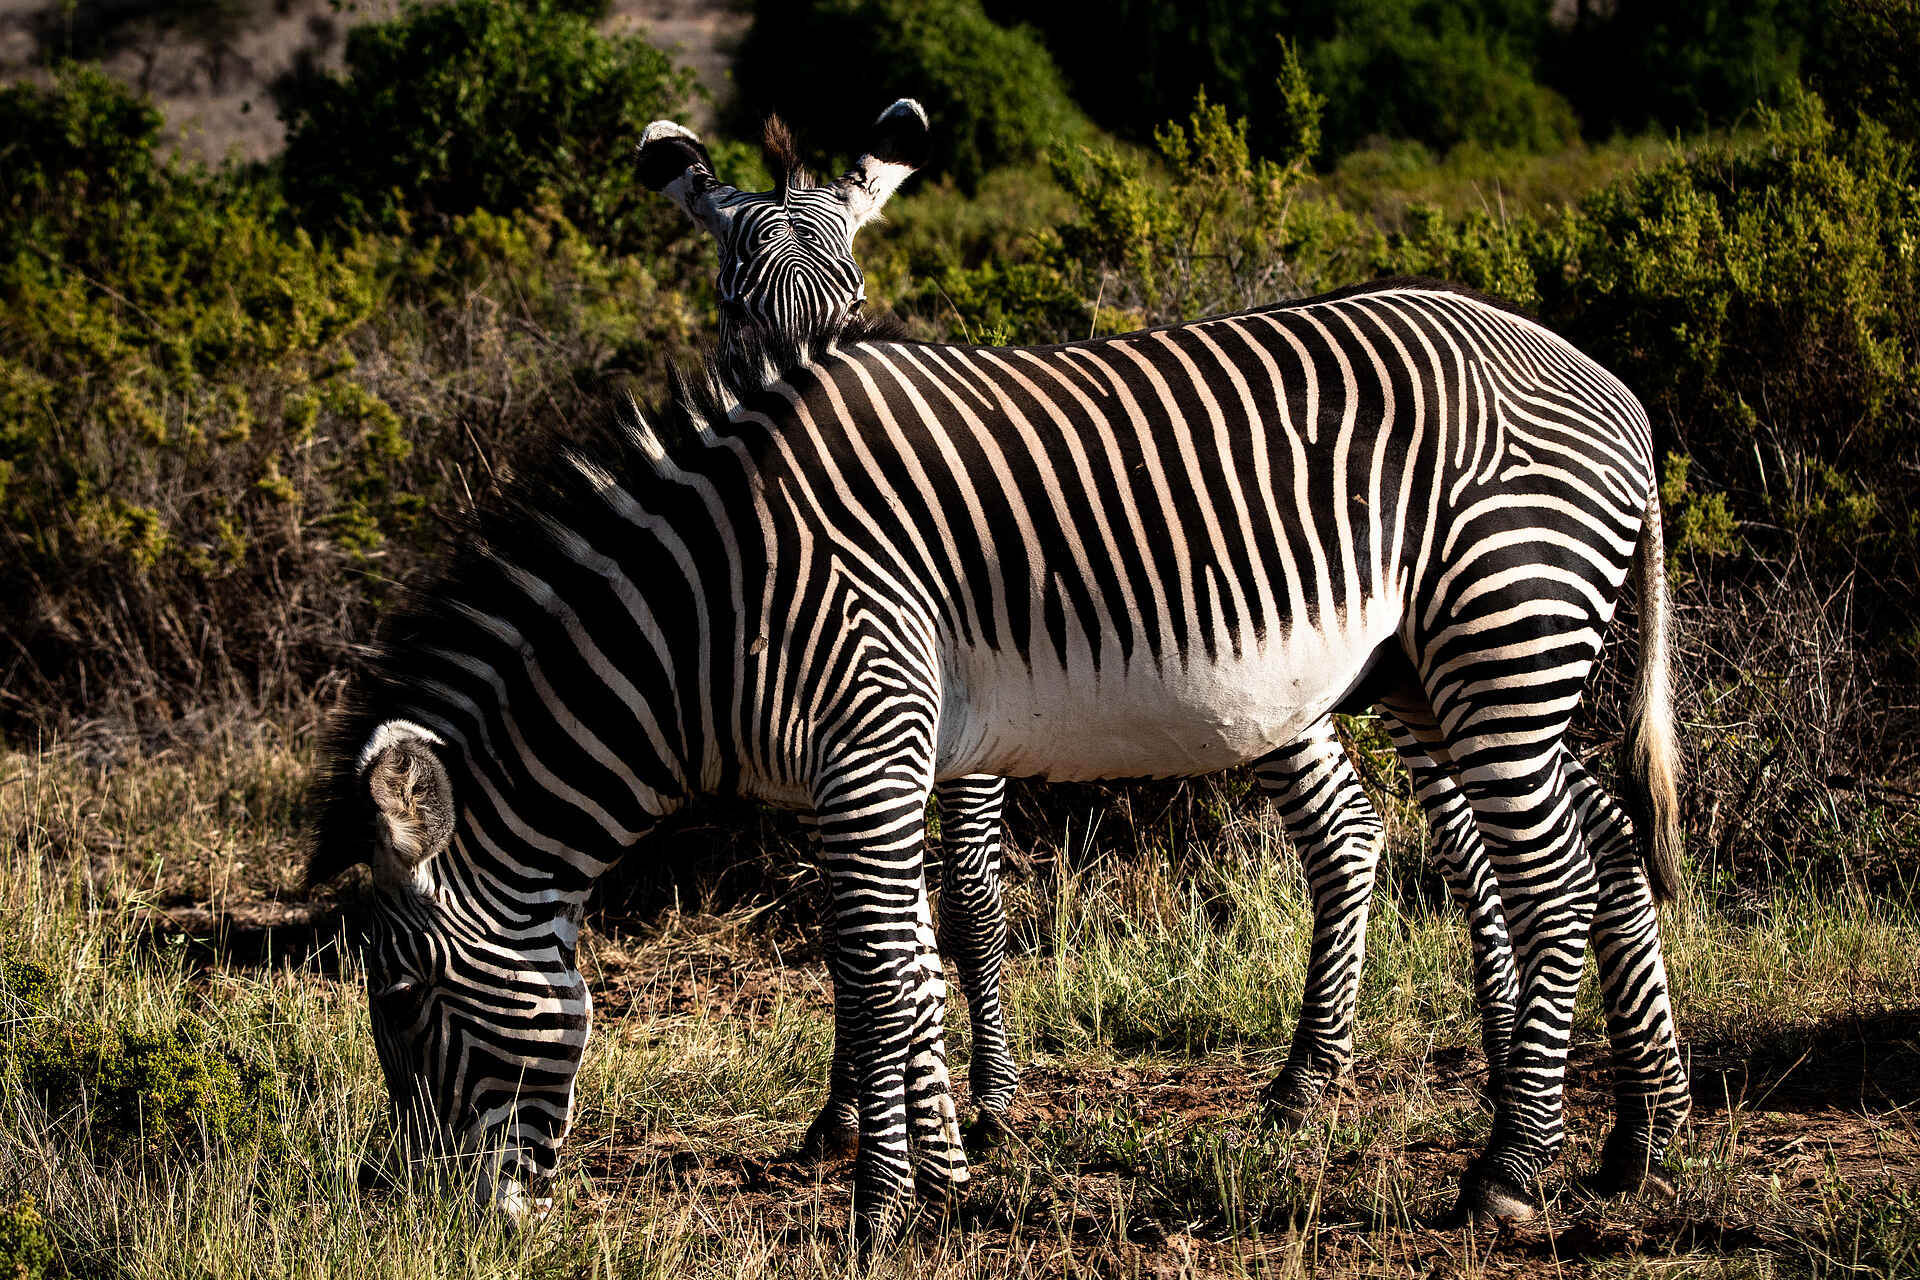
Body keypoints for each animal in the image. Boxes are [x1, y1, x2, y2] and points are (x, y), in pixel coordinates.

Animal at [309, 280, 1692, 1243]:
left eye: (407, 1000)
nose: (414, 1215)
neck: (711, 609)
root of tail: (1608, 380)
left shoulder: (869, 732)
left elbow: (880, 971)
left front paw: (881, 1208)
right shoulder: (870, 761)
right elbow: (901, 960)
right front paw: (944, 1169)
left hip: (1500, 626)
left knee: (1558, 879)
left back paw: (1510, 1172)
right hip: (1444, 664)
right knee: (1611, 839)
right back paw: (1642, 1135)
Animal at [633, 107, 1629, 1163]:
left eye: (855, 304)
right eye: (735, 308)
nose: (811, 423)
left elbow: (969, 900)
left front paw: (988, 1097)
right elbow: (852, 920)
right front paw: (847, 1113)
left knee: (1431, 834)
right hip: (1346, 679)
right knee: (1379, 832)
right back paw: (1413, 1068)